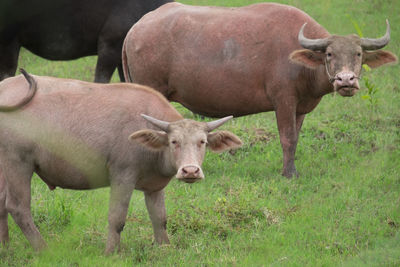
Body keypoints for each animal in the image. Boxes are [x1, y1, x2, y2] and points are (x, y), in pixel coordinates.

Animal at [0, 70, 242, 254]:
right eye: (174, 142)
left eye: (202, 142)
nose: (190, 171)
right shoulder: (122, 176)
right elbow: (117, 218)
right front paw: (111, 252)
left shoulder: (154, 187)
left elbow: (160, 218)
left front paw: (164, 248)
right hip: (18, 163)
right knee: (18, 207)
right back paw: (43, 249)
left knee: (2, 204)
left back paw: (6, 247)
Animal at [122, 2, 396, 178]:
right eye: (330, 54)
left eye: (358, 54)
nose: (345, 80)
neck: (301, 61)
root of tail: (136, 29)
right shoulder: (283, 100)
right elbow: (287, 137)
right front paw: (288, 174)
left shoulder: (300, 108)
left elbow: (295, 138)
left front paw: (290, 169)